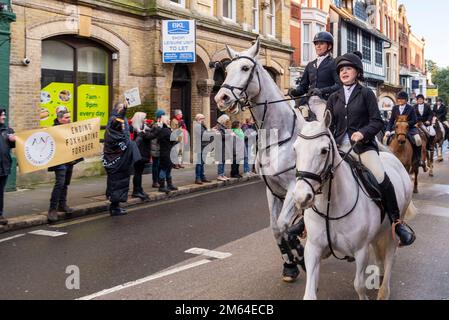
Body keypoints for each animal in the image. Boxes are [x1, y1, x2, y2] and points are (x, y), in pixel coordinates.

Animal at [214, 38, 324, 282]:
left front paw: (298, 254)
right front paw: (290, 263)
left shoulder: (293, 187)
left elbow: (283, 224)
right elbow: (275, 227)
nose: (221, 98)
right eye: (226, 69)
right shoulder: (272, 190)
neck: (277, 135)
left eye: (245, 68)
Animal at [288, 110, 414, 300]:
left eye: (324, 151)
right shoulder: (313, 248)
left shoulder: (361, 251)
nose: (301, 198)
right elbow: (309, 293)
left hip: (394, 226)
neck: (332, 206)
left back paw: (384, 291)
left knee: (391, 255)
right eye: (295, 149)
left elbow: (359, 285)